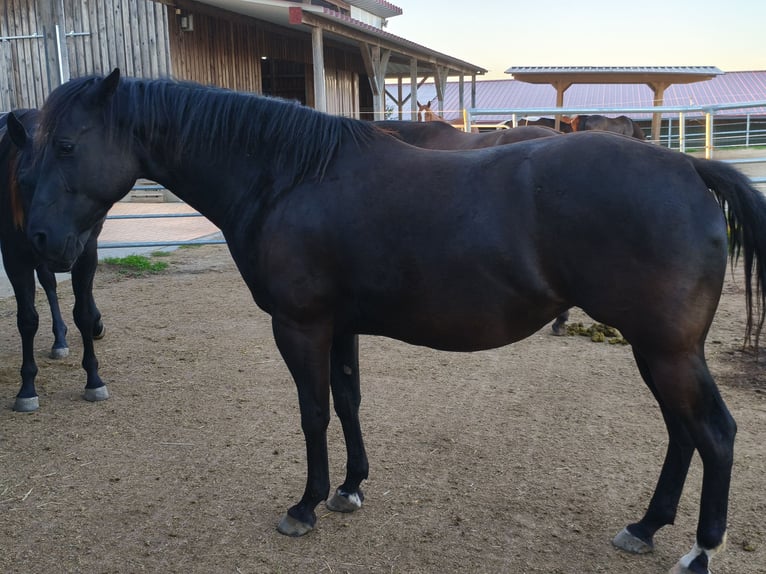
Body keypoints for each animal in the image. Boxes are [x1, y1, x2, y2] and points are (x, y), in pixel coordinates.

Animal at [1, 109, 108, 412]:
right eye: (23, 181)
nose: (53, 240)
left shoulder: (86, 252)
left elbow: (83, 313)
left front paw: (94, 379)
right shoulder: (15, 258)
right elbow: (27, 320)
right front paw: (26, 389)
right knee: (48, 284)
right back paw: (59, 338)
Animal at [22, 70, 766, 574]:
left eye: (67, 144)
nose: (40, 241)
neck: (287, 177)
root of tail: (690, 170)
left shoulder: (300, 327)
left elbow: (313, 412)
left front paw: (305, 505)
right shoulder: (340, 326)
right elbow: (348, 401)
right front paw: (349, 489)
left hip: (666, 351)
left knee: (714, 435)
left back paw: (699, 549)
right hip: (655, 350)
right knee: (682, 434)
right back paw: (646, 526)